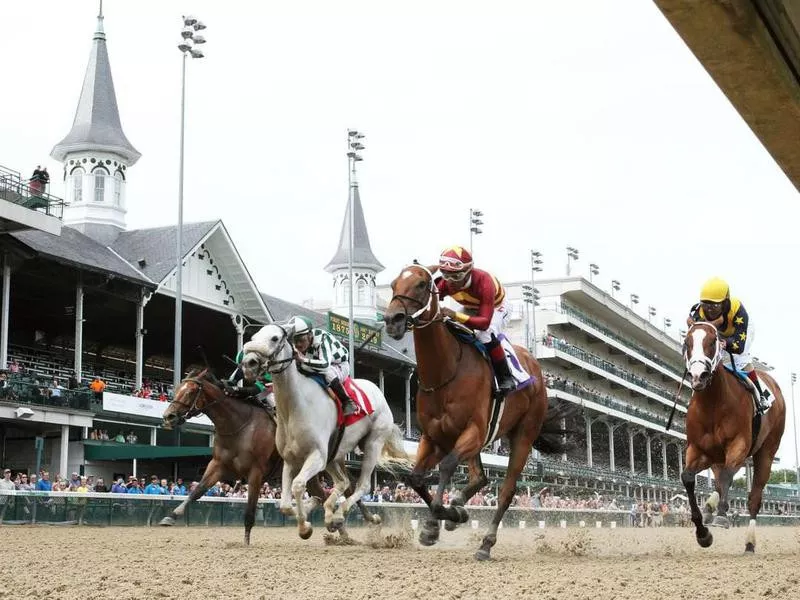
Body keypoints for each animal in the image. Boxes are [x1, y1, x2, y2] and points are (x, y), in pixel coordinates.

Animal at [239, 326, 412, 540]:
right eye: (254, 336)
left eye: (275, 338)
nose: (249, 363)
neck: (295, 407)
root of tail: (378, 391)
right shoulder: (290, 460)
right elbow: (285, 505)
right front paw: (308, 515)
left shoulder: (317, 456)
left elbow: (298, 485)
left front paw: (305, 527)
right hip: (335, 454)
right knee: (343, 482)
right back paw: (334, 513)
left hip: (372, 443)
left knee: (362, 485)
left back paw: (339, 514)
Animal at [382, 264, 564, 560]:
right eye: (393, 284)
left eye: (421, 284)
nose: (392, 320)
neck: (446, 372)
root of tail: (535, 367)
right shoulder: (433, 437)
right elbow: (416, 477)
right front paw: (451, 514)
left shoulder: (473, 431)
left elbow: (446, 467)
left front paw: (434, 524)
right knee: (480, 477)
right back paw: (458, 505)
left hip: (523, 435)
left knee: (506, 491)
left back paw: (485, 544)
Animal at [680, 324, 788, 552]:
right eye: (687, 342)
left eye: (713, 341)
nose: (698, 375)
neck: (712, 404)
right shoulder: (698, 450)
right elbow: (688, 478)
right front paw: (703, 533)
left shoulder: (739, 444)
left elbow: (728, 476)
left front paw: (721, 515)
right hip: (716, 458)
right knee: (719, 480)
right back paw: (709, 507)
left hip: (766, 452)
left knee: (754, 498)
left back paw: (749, 543)